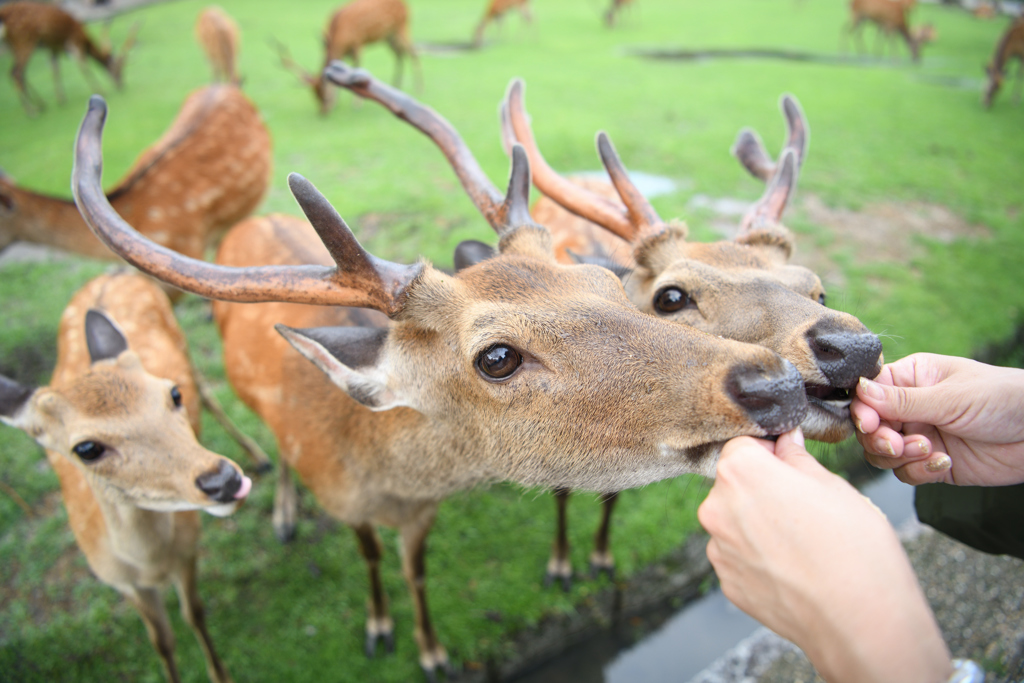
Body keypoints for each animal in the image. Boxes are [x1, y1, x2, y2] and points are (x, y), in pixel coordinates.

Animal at [0, 0, 139, 115]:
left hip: (12, 44)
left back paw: (41, 105)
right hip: (24, 40)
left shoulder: (54, 47)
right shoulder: (74, 40)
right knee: (17, 73)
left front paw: (61, 99)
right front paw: (101, 90)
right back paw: (32, 111)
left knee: (15, 73)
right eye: (117, 70)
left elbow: (55, 69)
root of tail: (3, 14)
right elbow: (83, 65)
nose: (121, 84)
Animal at [1, 270, 252, 683]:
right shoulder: (119, 581)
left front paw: (221, 674)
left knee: (210, 392)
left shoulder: (188, 548)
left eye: (173, 393)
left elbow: (195, 614)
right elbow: (161, 640)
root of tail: (113, 272)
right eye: (86, 448)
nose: (224, 480)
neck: (150, 564)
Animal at [70, 66, 806, 679]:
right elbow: (373, 561)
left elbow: (416, 570)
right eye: (497, 357)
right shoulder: (345, 501)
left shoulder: (422, 515)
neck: (382, 473)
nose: (777, 384)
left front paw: (431, 650)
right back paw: (281, 511)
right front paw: (381, 631)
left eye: (609, 283)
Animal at [274, 0, 421, 115]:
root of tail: (405, 4)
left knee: (413, 52)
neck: (339, 35)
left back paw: (417, 88)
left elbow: (357, 67)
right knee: (400, 55)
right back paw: (396, 86)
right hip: (388, 36)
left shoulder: (357, 42)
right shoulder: (344, 53)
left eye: (324, 94)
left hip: (401, 27)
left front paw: (356, 104)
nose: (323, 112)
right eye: (314, 95)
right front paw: (338, 103)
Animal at [464, 80, 880, 589]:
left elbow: (614, 494)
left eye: (818, 288)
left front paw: (602, 557)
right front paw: (561, 566)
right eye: (671, 297)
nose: (855, 349)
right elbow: (561, 489)